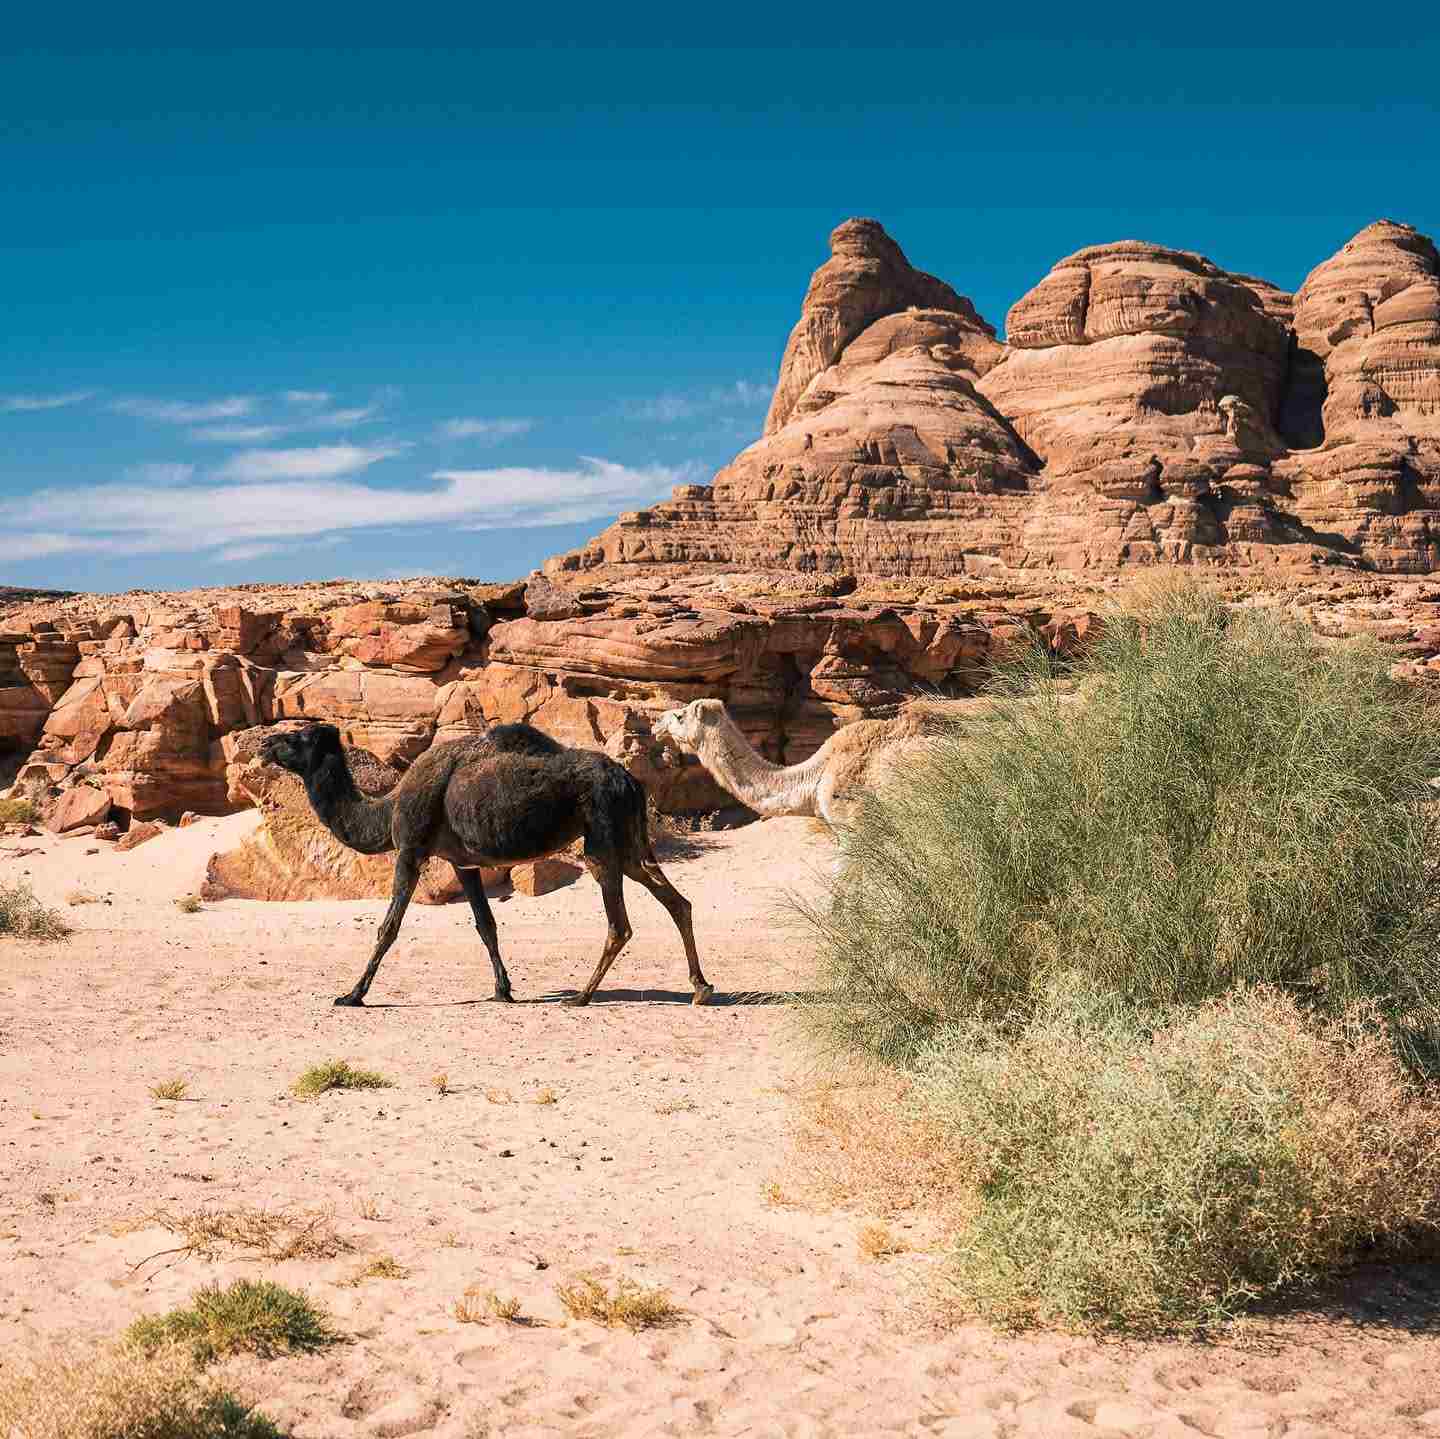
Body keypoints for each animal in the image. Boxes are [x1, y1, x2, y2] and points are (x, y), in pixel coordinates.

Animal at [259, 722, 712, 1009]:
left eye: (297, 737)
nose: (265, 743)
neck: (386, 810)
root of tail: (630, 781)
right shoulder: (464, 863)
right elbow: (485, 924)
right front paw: (503, 990)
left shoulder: (410, 849)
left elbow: (388, 927)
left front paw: (352, 995)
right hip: (630, 840)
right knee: (677, 901)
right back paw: (700, 987)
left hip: (600, 837)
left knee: (620, 924)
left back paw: (581, 997)